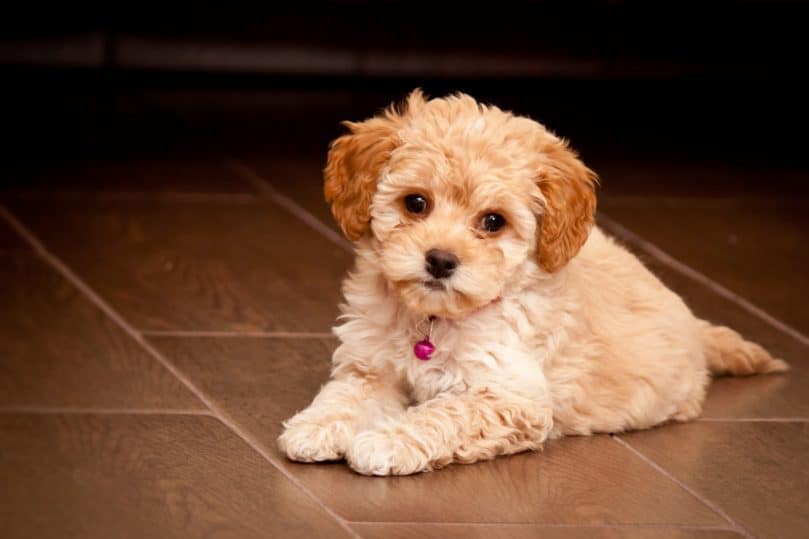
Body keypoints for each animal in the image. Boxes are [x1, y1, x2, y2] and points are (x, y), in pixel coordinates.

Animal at [280, 89, 788, 476]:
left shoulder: (511, 398)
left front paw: (386, 442)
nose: (440, 260)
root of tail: (693, 325)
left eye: (493, 221)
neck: (433, 320)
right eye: (415, 203)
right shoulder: (370, 365)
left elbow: (445, 412)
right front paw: (316, 426)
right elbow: (346, 394)